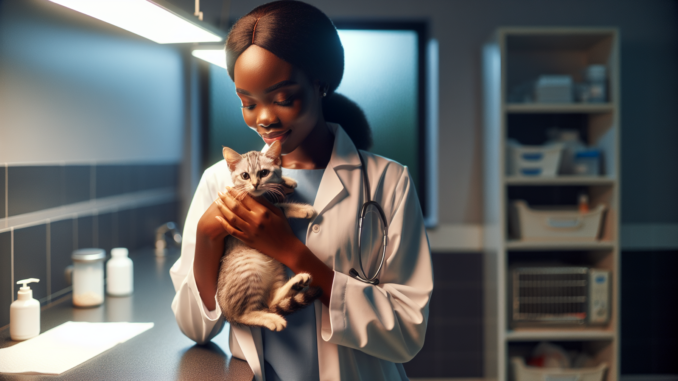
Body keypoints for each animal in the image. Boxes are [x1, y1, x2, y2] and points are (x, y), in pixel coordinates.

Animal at [218, 141, 324, 332]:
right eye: (245, 176)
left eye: (263, 173)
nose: (255, 184)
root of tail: (226, 314)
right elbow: (281, 206)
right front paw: (302, 208)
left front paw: (286, 180)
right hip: (249, 269)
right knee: (244, 314)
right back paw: (273, 319)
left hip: (277, 267)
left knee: (271, 300)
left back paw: (298, 282)